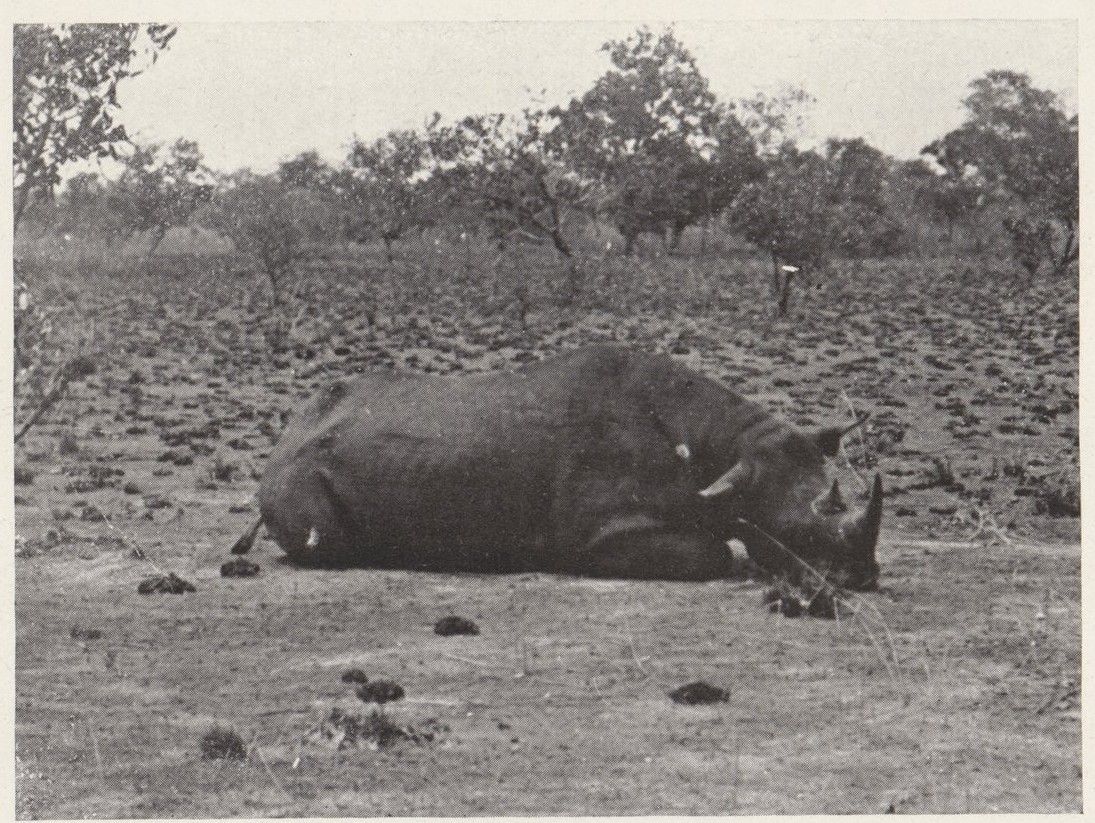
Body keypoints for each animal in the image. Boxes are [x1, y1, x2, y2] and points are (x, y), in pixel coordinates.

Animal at [240, 345, 882, 589]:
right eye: (798, 533)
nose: (862, 579)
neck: (726, 454)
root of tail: (283, 440)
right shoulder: (599, 535)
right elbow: (715, 554)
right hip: (296, 474)